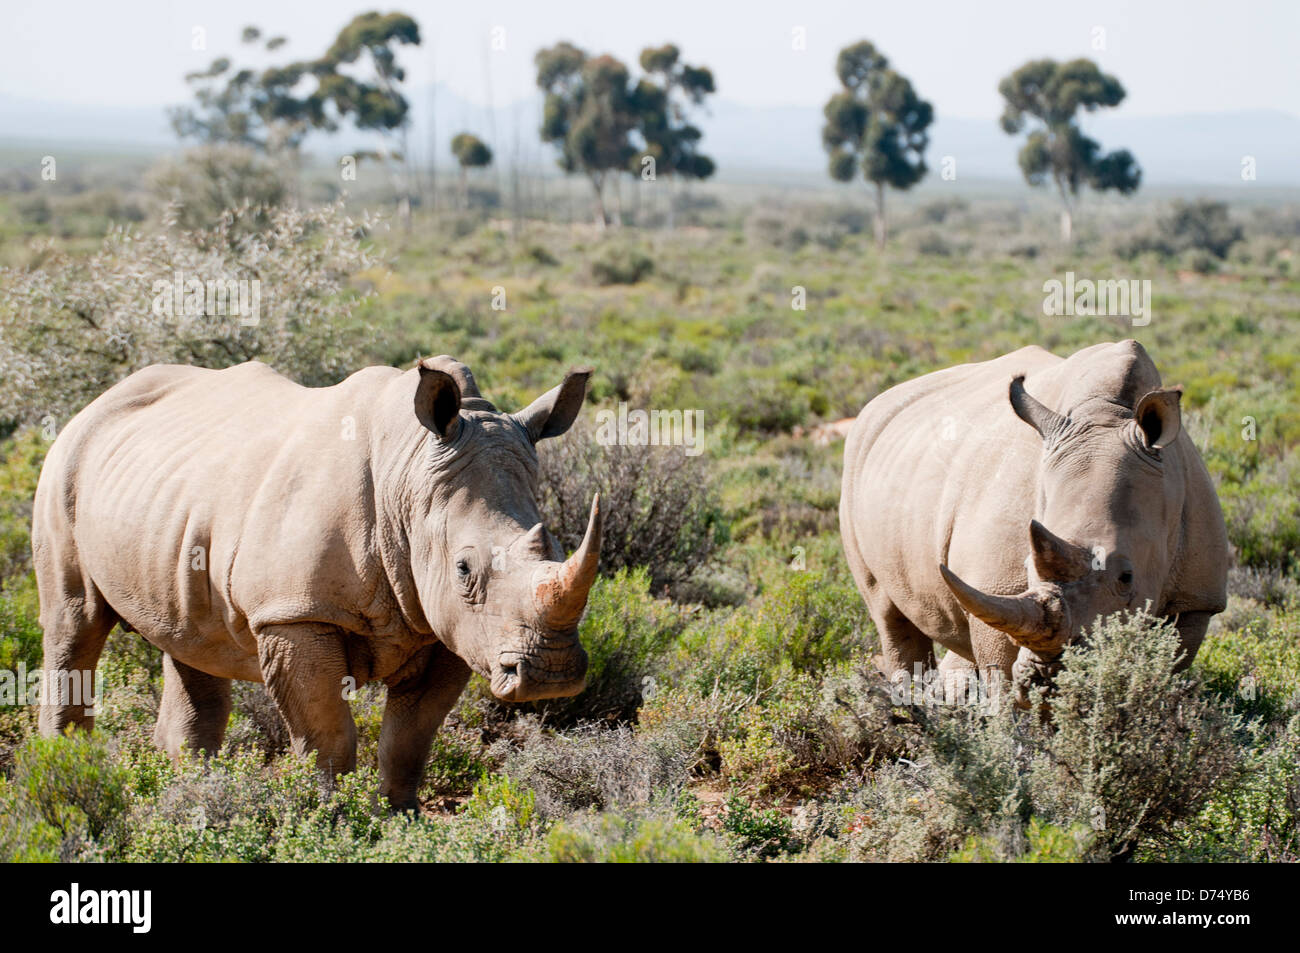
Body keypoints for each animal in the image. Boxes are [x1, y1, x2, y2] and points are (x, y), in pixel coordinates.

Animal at [35, 356, 600, 800]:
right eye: (464, 569)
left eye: (555, 548)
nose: (550, 676)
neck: (409, 479)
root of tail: (98, 401)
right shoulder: (293, 613)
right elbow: (327, 736)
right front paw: (330, 819)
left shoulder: (450, 628)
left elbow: (409, 739)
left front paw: (400, 819)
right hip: (63, 465)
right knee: (74, 623)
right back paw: (65, 771)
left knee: (190, 642)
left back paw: (190, 789)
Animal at [842, 338, 1227, 696]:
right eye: (1027, 565)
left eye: (1127, 577)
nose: (1048, 676)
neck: (1109, 413)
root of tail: (877, 403)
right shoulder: (995, 590)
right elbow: (1002, 680)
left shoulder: (1195, 601)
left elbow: (1167, 665)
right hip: (856, 462)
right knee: (887, 613)